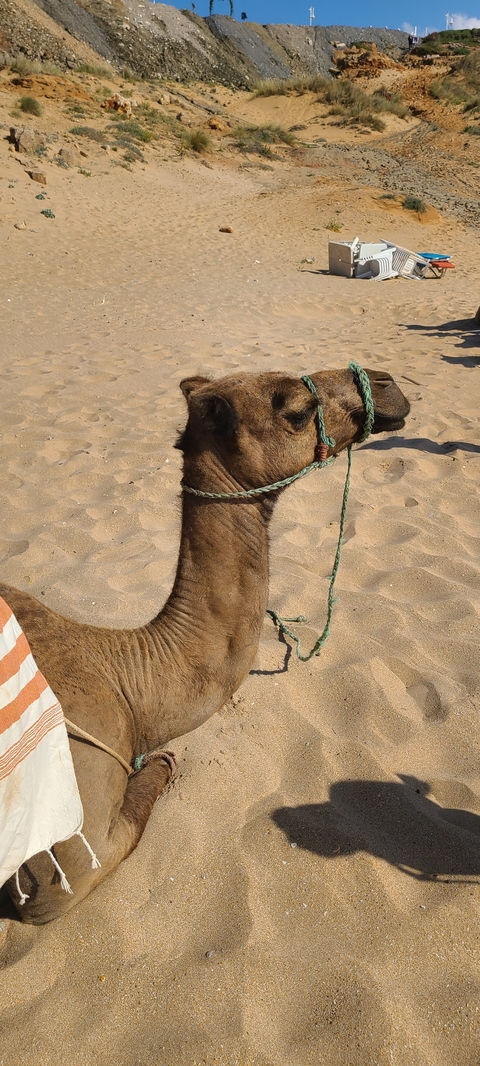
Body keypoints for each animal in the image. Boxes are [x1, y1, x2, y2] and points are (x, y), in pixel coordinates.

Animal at [2, 366, 409, 924]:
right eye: (297, 410)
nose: (386, 383)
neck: (127, 683)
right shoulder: (66, 831)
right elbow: (85, 866)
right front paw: (161, 761)